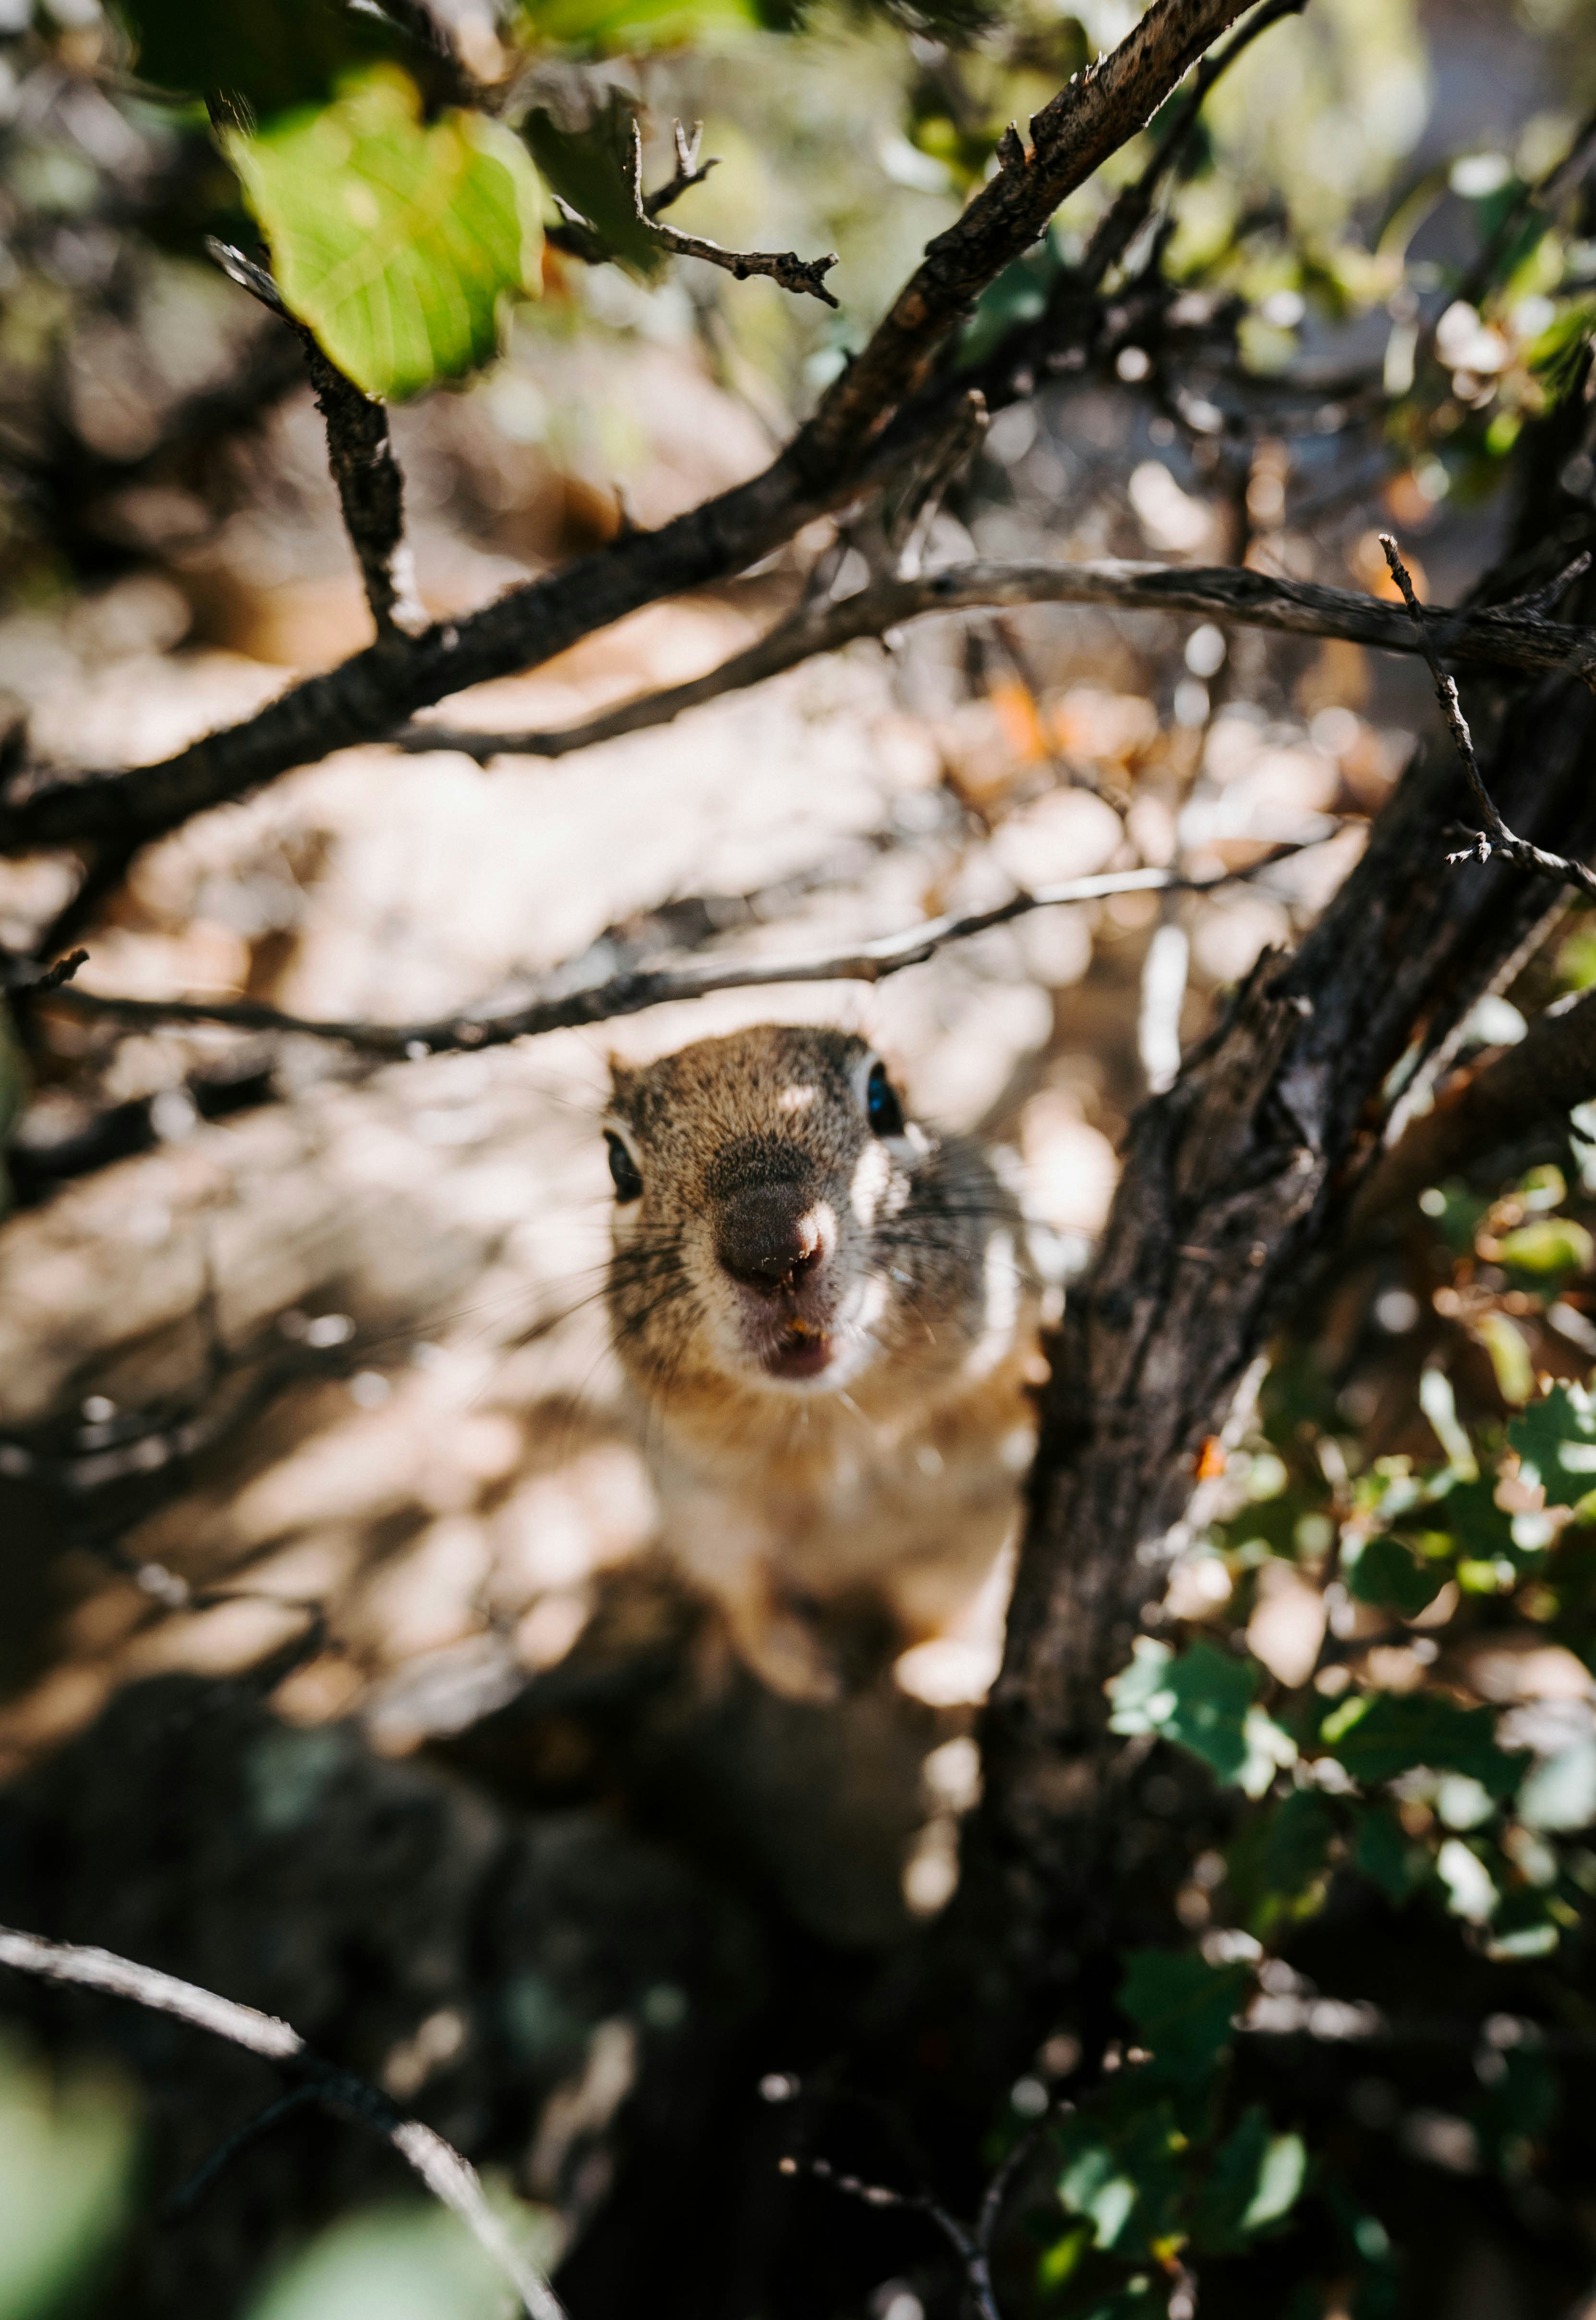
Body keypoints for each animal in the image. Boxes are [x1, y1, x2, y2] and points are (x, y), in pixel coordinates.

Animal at [602, 1024, 1040, 1701]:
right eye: (618, 1165)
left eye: (884, 1099)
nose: (772, 1248)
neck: (838, 1422)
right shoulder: (703, 1509)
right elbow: (747, 1590)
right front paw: (793, 1662)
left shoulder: (980, 1519)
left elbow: (941, 1603)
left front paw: (940, 1669)